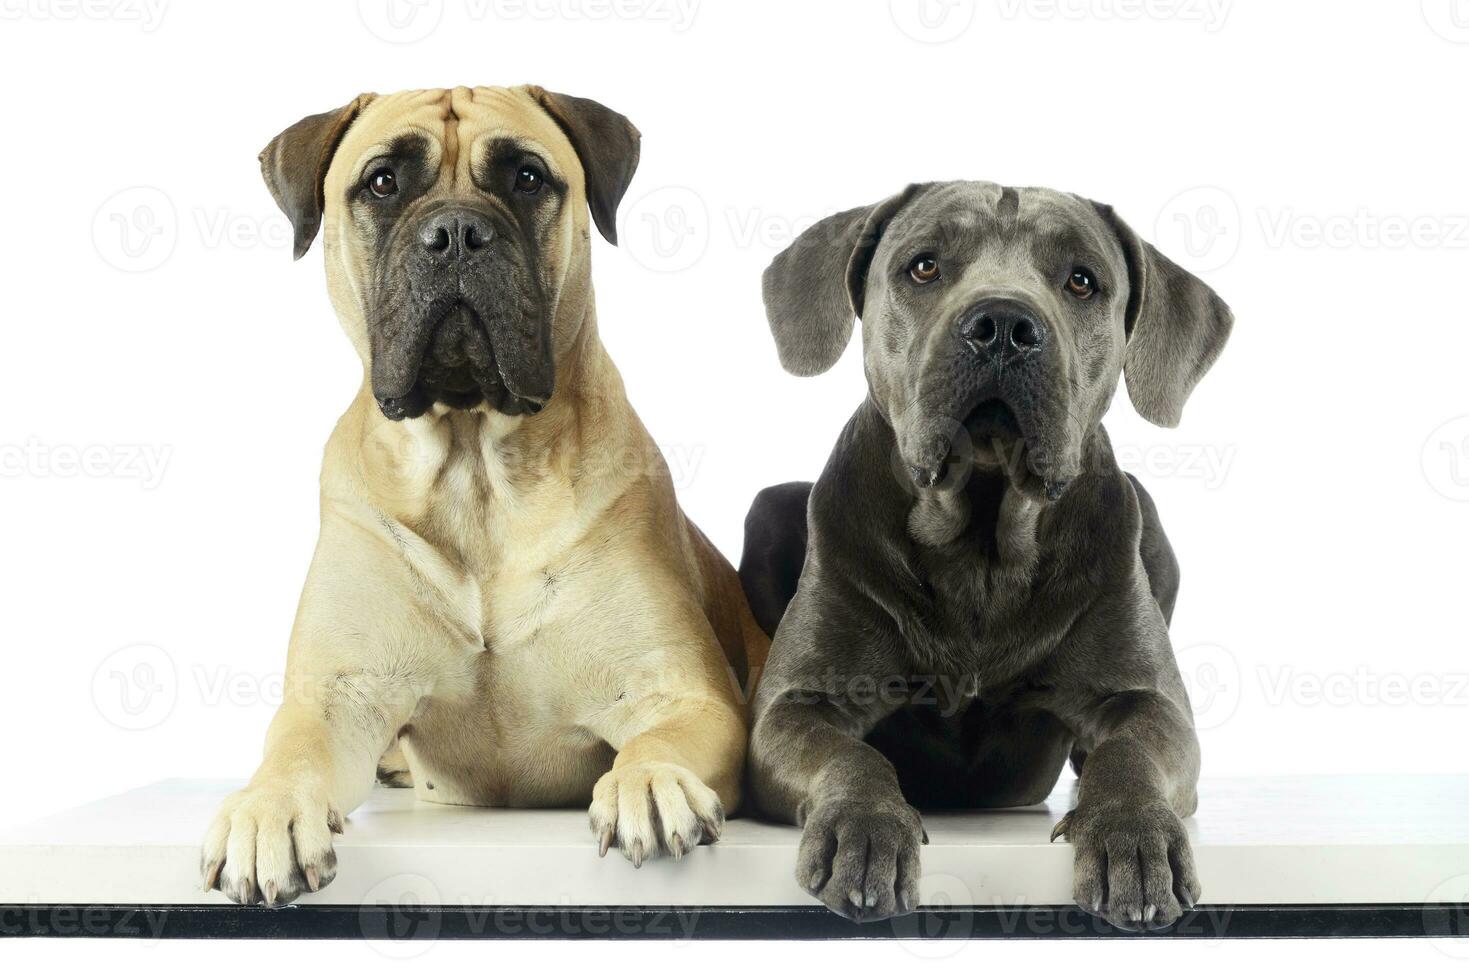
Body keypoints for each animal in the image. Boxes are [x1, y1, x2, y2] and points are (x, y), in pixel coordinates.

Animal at [740, 179, 1233, 934]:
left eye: (1082, 280)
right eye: (922, 266)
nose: (1002, 323)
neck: (981, 546)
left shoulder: (1151, 703)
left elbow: (1129, 750)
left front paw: (1132, 833)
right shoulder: (795, 706)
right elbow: (848, 752)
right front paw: (863, 826)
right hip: (767, 509)